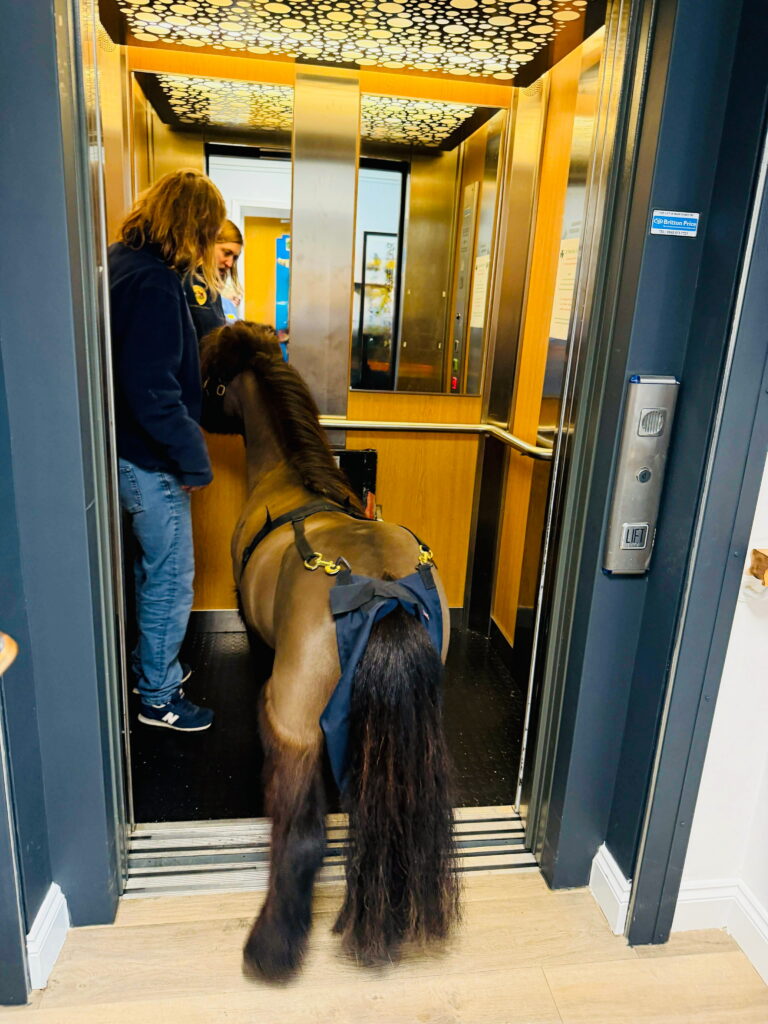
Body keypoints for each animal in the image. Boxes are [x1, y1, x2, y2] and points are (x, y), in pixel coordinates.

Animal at [199, 320, 461, 981]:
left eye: (212, 366)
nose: (195, 407)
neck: (290, 479)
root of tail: (386, 588)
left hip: (293, 723)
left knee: (301, 838)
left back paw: (272, 947)